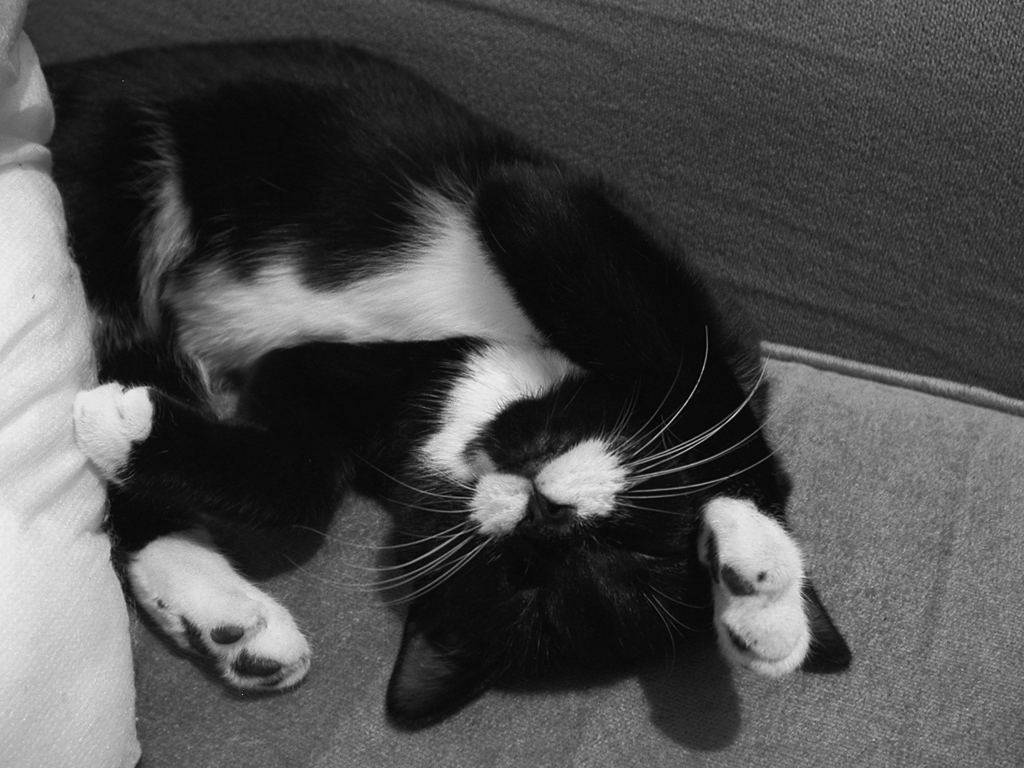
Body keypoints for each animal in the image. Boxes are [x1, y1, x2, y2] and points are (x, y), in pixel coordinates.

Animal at [46, 37, 847, 729]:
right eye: (643, 539)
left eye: (527, 576)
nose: (548, 512)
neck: (483, 391)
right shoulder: (606, 242)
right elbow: (535, 208)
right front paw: (759, 582)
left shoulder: (315, 388)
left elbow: (298, 478)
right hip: (111, 170)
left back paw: (225, 618)